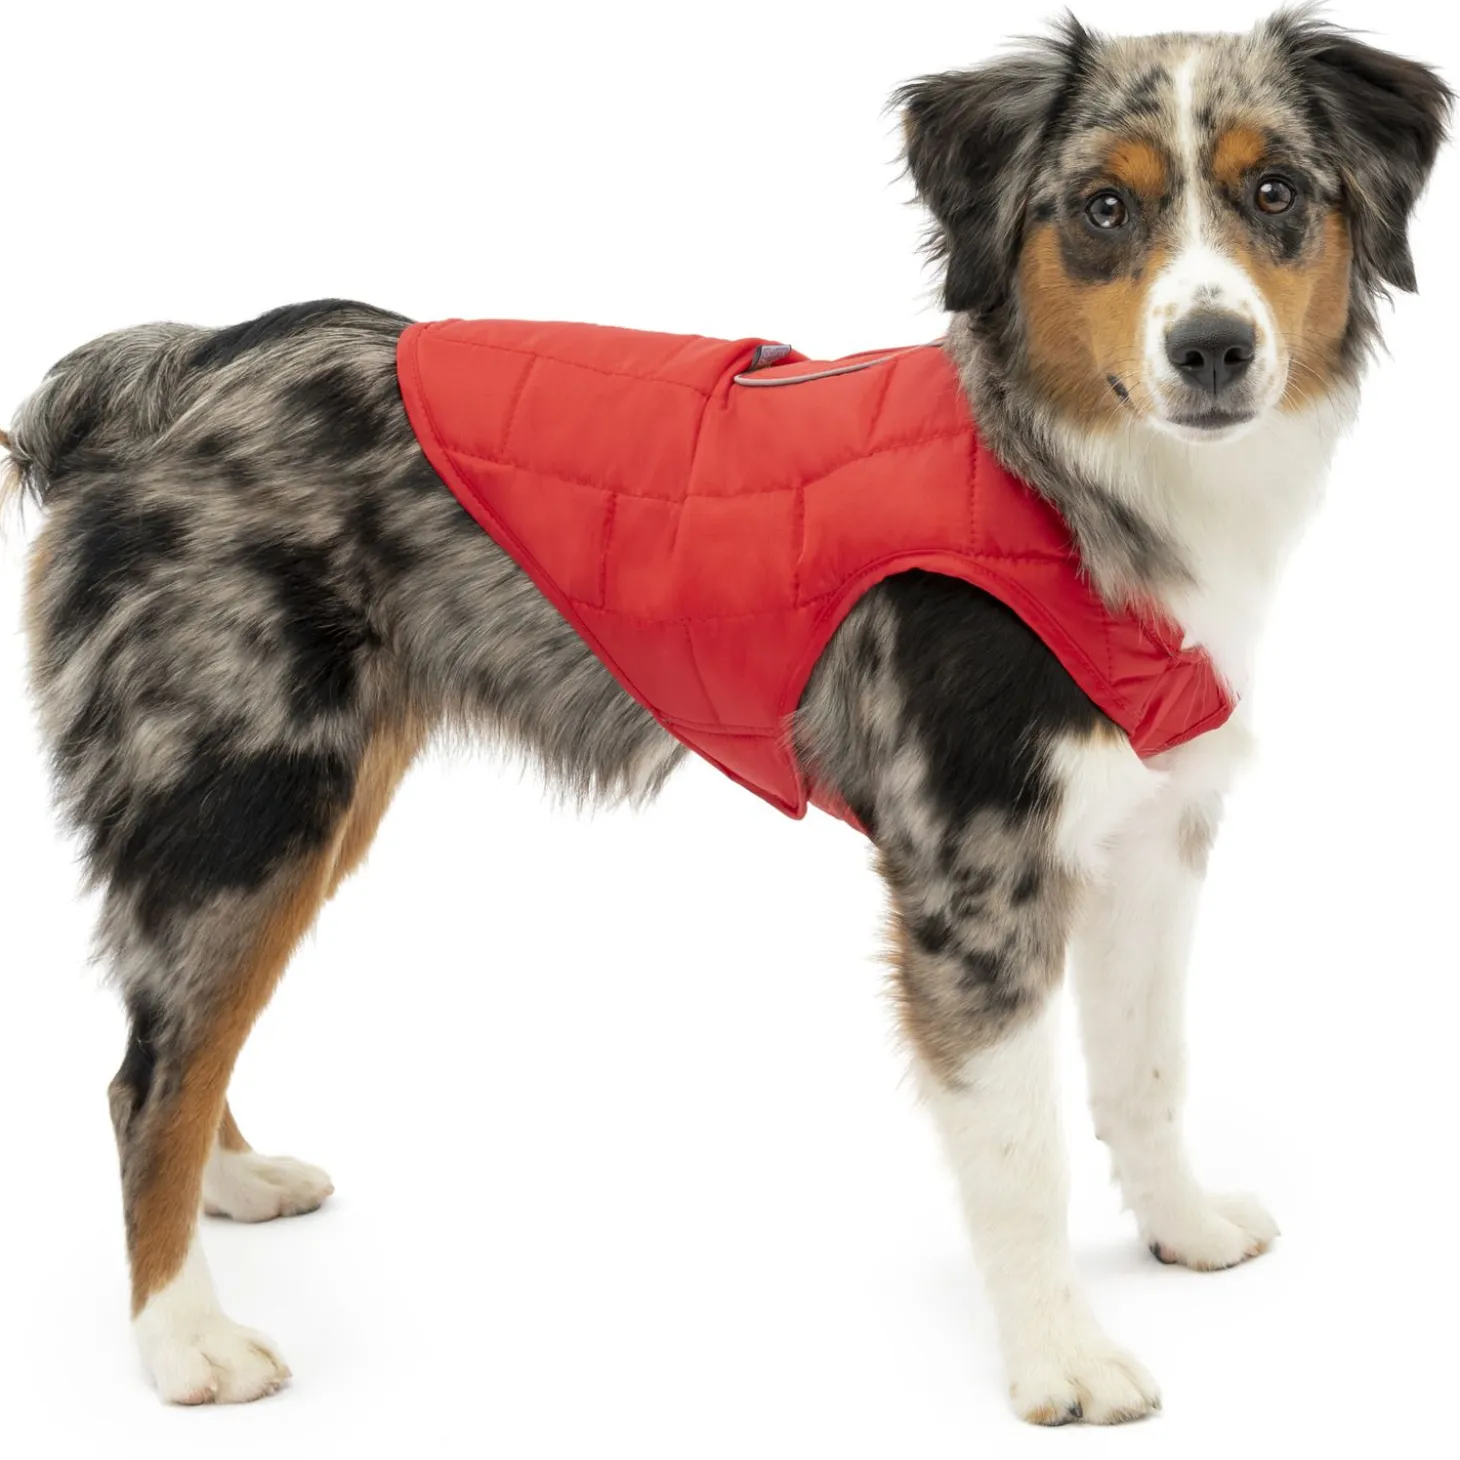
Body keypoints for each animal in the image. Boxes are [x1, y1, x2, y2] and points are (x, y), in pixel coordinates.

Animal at [0, 7, 1449, 1425]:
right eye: (1101, 206)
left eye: (1276, 192)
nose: (1212, 349)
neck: (1063, 477)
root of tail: (175, 367)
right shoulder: (974, 867)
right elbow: (1018, 1144)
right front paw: (1059, 1357)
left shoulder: (1151, 836)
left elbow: (1146, 1068)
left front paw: (1181, 1226)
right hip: (246, 789)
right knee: (148, 1072)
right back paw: (184, 1337)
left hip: (311, 799)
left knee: (189, 1033)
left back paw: (232, 1190)